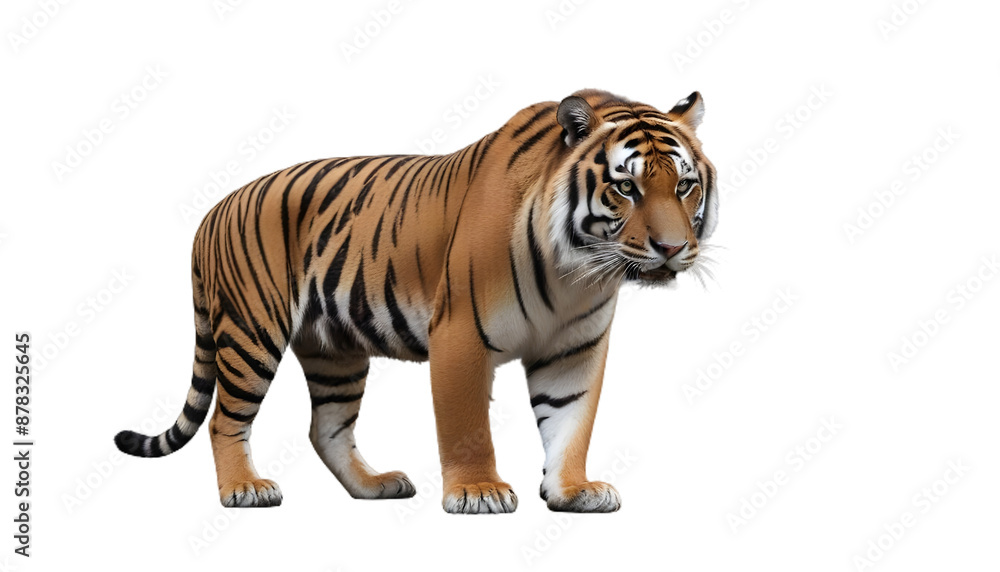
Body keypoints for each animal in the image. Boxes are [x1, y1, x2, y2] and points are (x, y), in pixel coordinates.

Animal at [114, 88, 718, 514]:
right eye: (626, 188)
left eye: (684, 186)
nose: (672, 249)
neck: (578, 273)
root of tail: (214, 210)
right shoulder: (461, 335)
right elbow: (466, 424)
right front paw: (479, 492)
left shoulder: (575, 349)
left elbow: (571, 423)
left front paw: (573, 490)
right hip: (251, 333)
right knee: (224, 420)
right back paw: (244, 489)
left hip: (334, 349)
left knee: (326, 428)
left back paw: (374, 486)